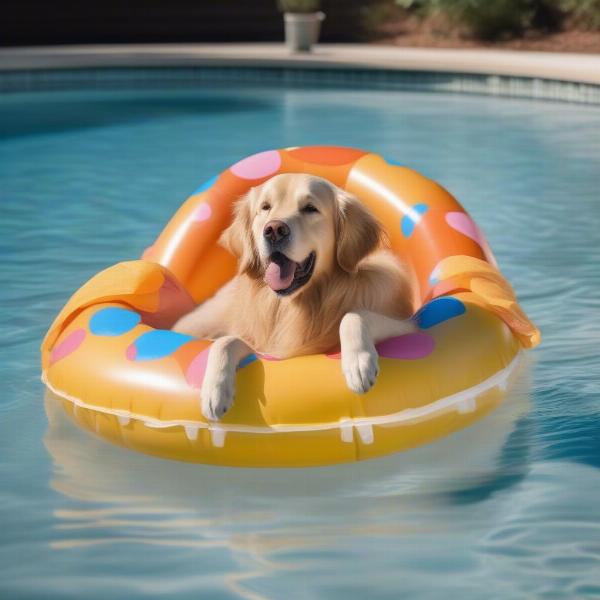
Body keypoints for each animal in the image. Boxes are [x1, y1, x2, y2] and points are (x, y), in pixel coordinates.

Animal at [173, 171, 418, 420]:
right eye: (265, 207)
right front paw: (214, 391)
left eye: (310, 208)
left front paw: (358, 364)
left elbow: (354, 314)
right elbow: (226, 342)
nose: (274, 230)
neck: (297, 304)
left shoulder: (408, 326)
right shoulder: (268, 349)